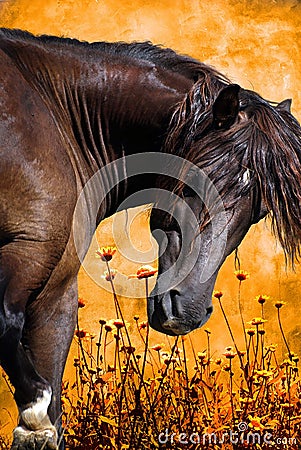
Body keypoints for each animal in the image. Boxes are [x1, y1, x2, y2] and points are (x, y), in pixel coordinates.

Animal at [0, 29, 300, 450]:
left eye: (258, 212)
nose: (186, 313)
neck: (53, 115)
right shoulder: (35, 258)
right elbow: (10, 327)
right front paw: (35, 416)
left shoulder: (53, 283)